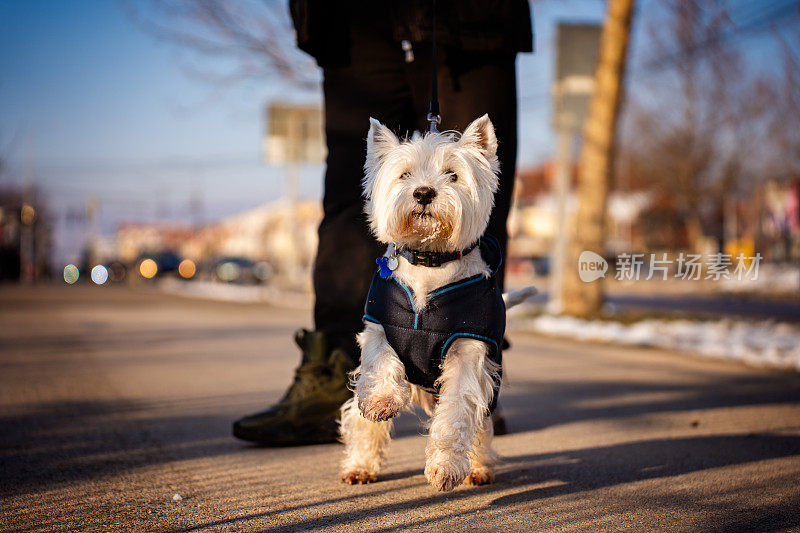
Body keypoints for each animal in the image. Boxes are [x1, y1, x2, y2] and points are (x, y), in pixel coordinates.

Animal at [340, 115, 536, 490]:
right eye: (405, 175)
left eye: (453, 175)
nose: (423, 192)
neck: (430, 262)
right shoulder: (380, 327)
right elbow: (380, 367)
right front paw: (382, 401)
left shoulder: (467, 351)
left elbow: (458, 411)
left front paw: (446, 467)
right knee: (360, 422)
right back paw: (359, 467)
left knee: (481, 426)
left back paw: (477, 469)